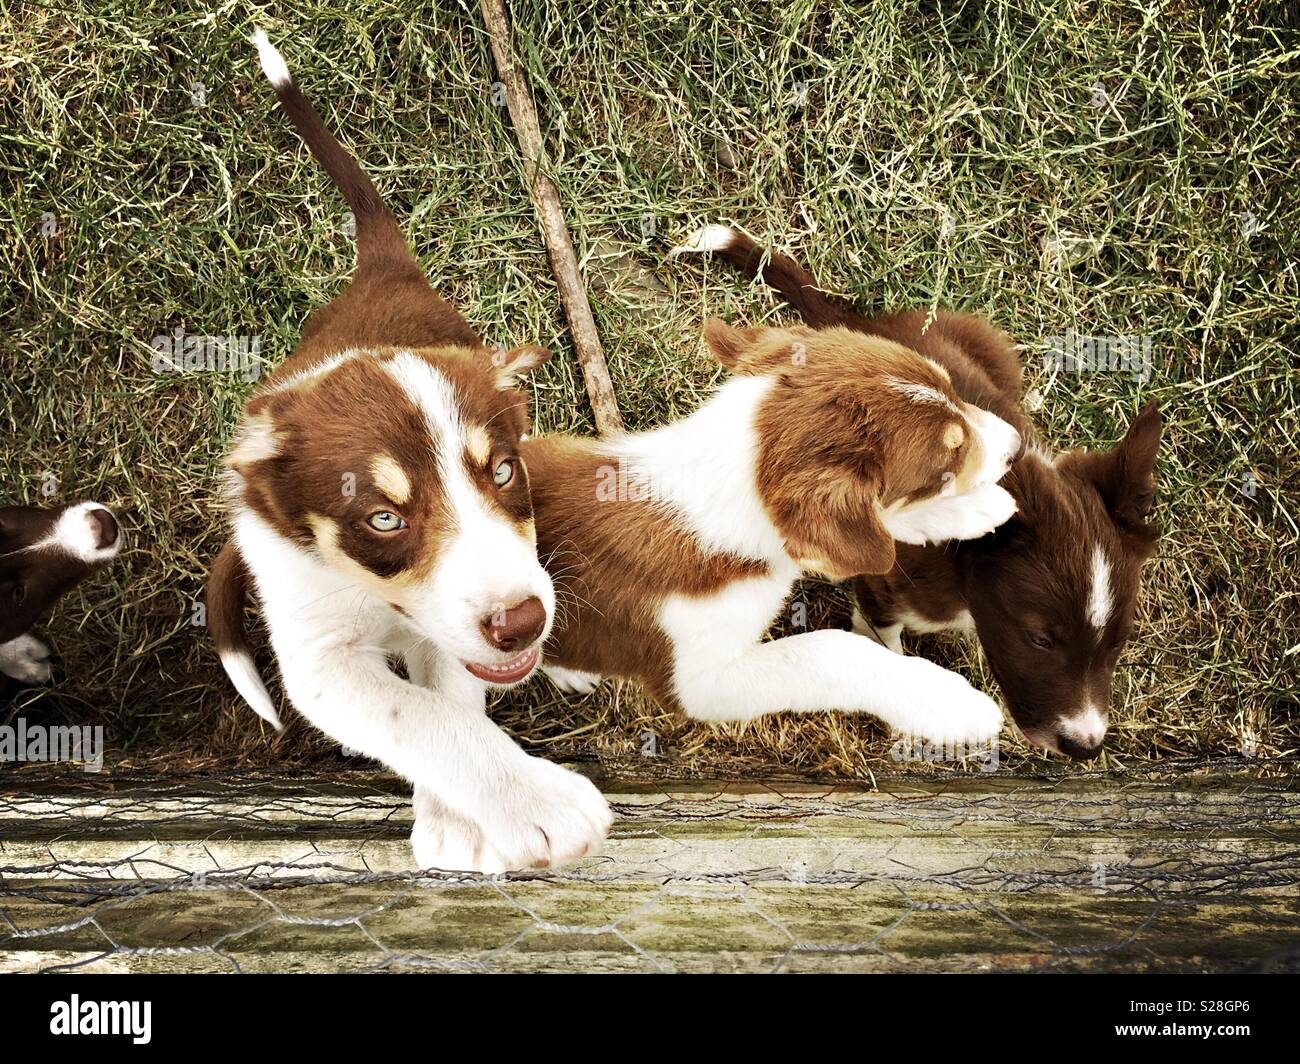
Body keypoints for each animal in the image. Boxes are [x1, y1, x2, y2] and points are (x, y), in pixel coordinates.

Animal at [210, 33, 616, 874]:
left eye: (502, 470)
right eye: (383, 520)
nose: (522, 623)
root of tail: (382, 270)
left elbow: (453, 694)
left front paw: (463, 820)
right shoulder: (319, 657)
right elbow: (421, 717)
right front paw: (536, 804)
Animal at [520, 314, 1024, 744]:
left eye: (951, 386)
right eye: (945, 464)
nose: (1017, 445)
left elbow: (869, 532)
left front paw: (976, 509)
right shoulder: (696, 680)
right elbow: (830, 650)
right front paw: (948, 703)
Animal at [676, 226, 1164, 754]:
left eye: (1120, 641)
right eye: (1039, 639)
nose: (1085, 748)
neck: (961, 571)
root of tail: (860, 326)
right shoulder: (881, 585)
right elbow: (883, 640)